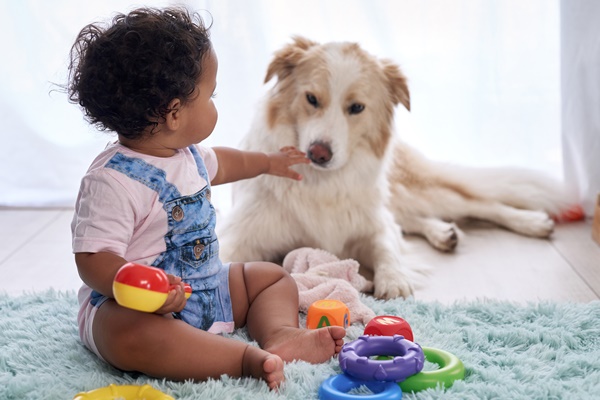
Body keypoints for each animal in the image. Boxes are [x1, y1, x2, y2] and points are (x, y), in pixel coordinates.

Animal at [217, 37, 576, 298]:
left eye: (356, 107)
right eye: (311, 99)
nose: (319, 153)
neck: (324, 183)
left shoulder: (372, 225)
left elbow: (386, 246)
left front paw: (394, 280)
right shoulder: (240, 234)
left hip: (414, 193)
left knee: (480, 204)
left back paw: (531, 222)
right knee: (412, 219)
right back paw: (444, 233)